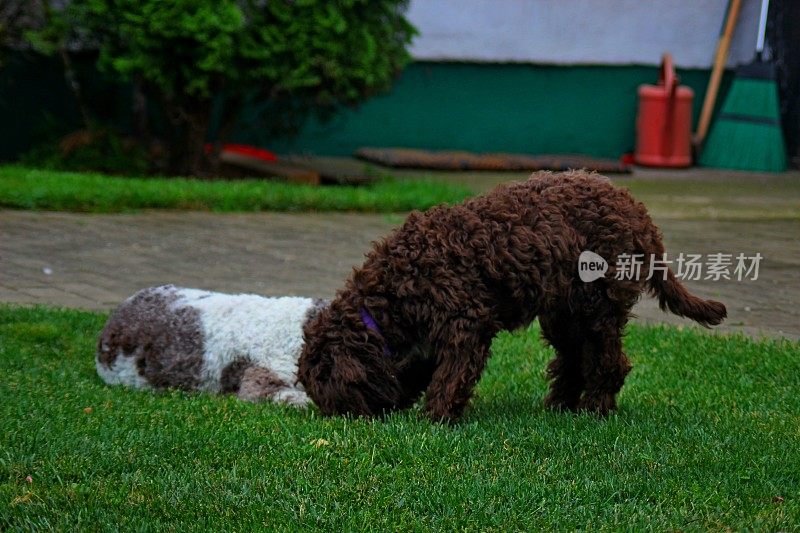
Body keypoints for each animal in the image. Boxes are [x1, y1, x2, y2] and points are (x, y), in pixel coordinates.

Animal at [296, 170, 728, 420]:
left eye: (336, 401)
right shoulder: (429, 337)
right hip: (563, 312)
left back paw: (595, 410)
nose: (345, 421)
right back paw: (559, 407)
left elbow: (451, 376)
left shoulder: (466, 324)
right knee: (574, 360)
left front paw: (435, 417)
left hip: (597, 305)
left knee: (609, 362)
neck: (391, 293)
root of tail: (641, 214)